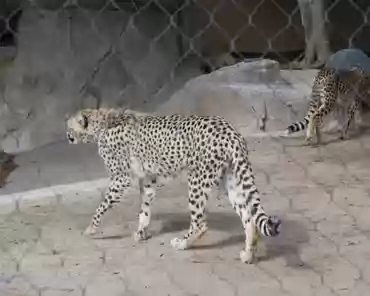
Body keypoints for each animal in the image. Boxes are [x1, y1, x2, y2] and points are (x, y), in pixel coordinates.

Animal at [66, 108, 280, 264]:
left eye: (69, 127)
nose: (68, 137)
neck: (101, 122)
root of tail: (230, 131)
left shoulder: (121, 179)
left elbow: (102, 205)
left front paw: (91, 228)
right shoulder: (149, 178)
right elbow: (145, 209)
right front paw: (141, 232)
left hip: (198, 180)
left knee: (200, 222)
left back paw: (183, 243)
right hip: (231, 180)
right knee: (249, 218)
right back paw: (248, 254)